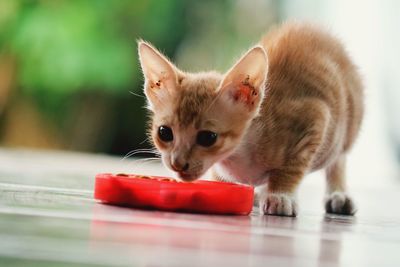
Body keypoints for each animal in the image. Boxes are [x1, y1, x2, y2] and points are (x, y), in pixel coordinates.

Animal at [139, 22, 364, 217]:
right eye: (164, 133)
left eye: (208, 137)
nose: (177, 163)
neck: (240, 152)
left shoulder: (315, 117)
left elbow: (293, 166)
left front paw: (280, 195)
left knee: (338, 159)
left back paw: (337, 194)